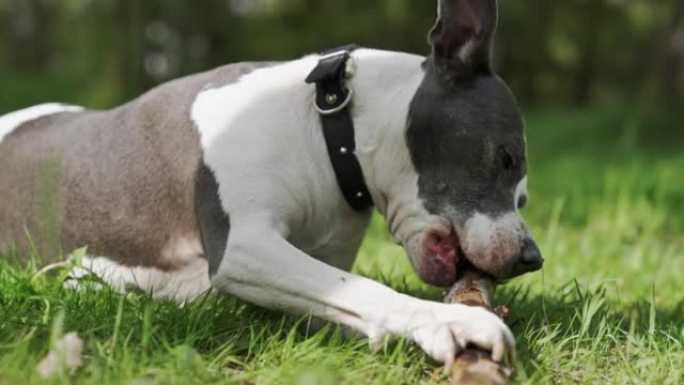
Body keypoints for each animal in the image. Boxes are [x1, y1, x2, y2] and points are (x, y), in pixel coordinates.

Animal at [2, 0, 544, 366]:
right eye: (507, 157)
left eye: (524, 196)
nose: (530, 258)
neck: (332, 134)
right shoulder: (245, 247)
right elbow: (366, 288)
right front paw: (450, 320)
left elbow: (345, 296)